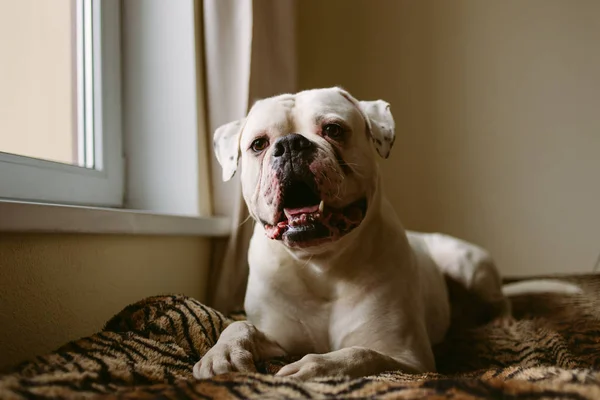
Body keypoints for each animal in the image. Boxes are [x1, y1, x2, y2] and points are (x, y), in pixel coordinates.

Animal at [192, 86, 510, 380]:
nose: (291, 143)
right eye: (259, 144)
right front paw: (223, 354)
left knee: (500, 300)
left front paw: (311, 368)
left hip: (468, 265)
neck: (321, 264)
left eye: (333, 129)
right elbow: (239, 325)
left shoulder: (407, 357)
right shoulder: (278, 339)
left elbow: (358, 354)